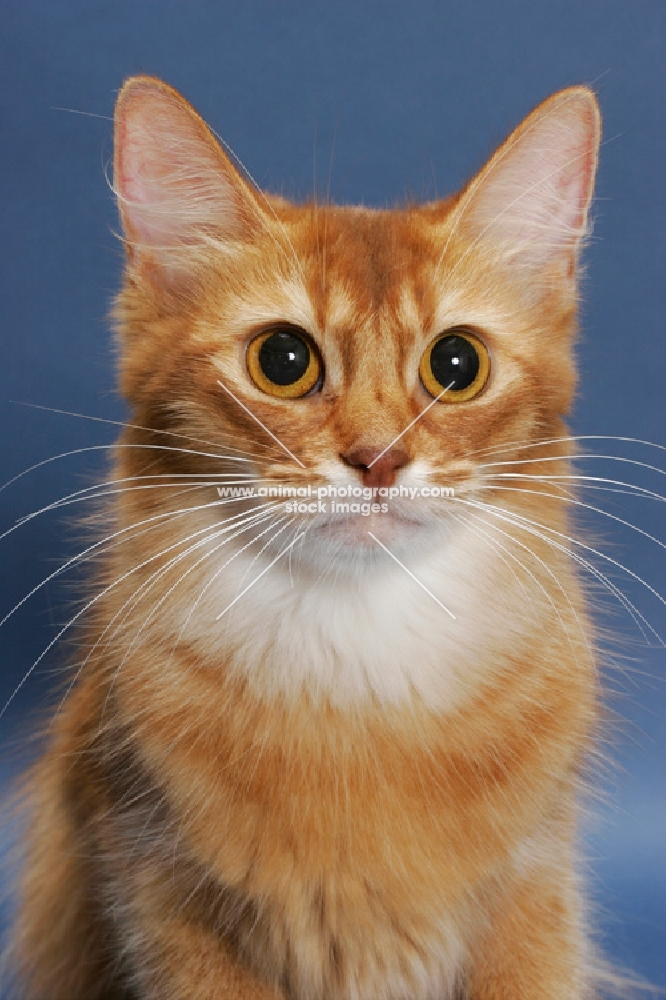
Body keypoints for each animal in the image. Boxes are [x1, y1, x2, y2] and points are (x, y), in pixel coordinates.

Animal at [5, 74, 624, 996]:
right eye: (283, 360)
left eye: (456, 365)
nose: (379, 459)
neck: (360, 685)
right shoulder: (155, 882)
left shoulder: (536, 888)